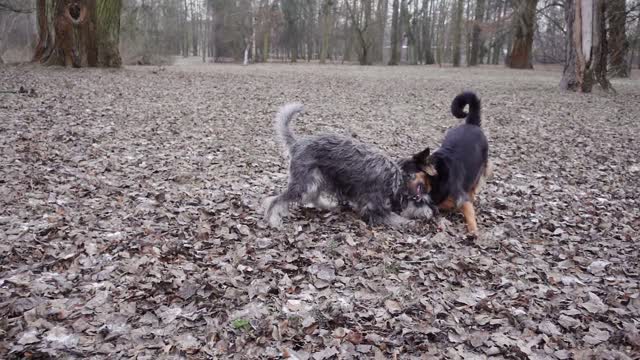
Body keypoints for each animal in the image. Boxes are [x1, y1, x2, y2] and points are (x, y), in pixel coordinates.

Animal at [262, 103, 436, 228]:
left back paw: (328, 206)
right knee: (275, 200)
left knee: (313, 196)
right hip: (303, 183)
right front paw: (409, 223)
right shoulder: (373, 207)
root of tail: (297, 144)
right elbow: (392, 217)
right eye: (421, 200)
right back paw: (273, 220)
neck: (396, 180)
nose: (431, 214)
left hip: (317, 180)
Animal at [420, 91, 490, 235]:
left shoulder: (461, 197)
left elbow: (468, 210)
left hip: (479, 170)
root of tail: (471, 124)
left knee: (473, 188)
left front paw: (473, 231)